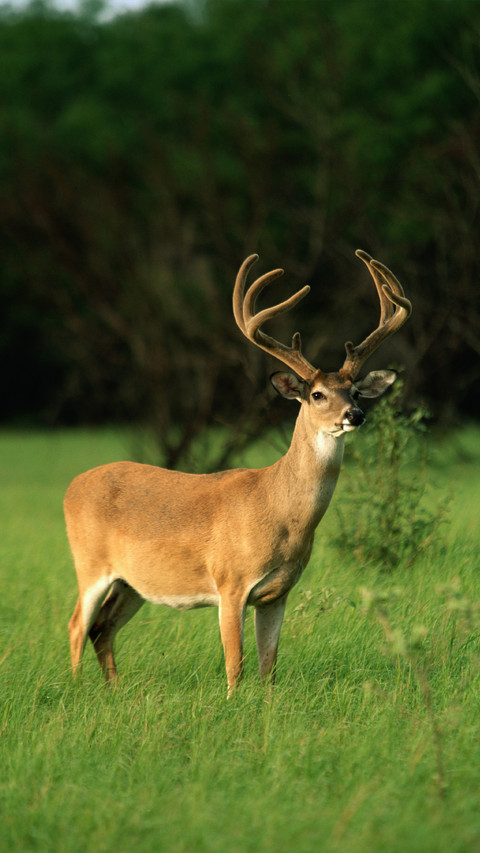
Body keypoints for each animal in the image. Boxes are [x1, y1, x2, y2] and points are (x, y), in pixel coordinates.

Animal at [65, 249, 411, 696]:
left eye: (354, 391)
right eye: (317, 394)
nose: (355, 414)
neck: (280, 512)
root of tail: (73, 485)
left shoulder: (277, 593)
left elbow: (269, 667)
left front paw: (267, 706)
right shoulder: (230, 582)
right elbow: (236, 665)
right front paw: (232, 704)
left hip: (133, 582)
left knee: (102, 628)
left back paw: (114, 691)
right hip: (89, 563)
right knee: (78, 625)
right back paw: (76, 690)